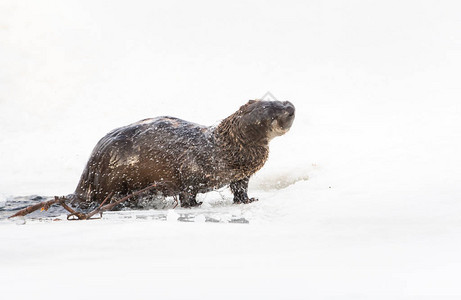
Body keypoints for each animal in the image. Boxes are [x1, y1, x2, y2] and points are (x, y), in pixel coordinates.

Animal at [72, 99, 294, 207]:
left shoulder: (241, 175)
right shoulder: (192, 166)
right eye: (272, 111)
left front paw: (247, 200)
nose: (290, 107)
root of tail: (90, 169)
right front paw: (193, 205)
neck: (223, 151)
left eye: (280, 101)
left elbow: (240, 189)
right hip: (112, 178)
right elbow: (187, 188)